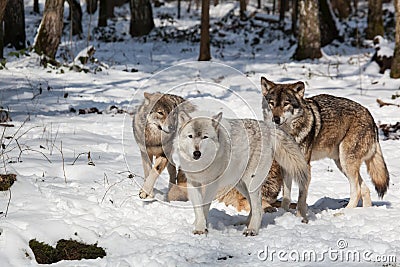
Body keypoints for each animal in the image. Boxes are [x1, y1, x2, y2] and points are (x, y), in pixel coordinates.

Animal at [173, 111, 310, 237]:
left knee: (259, 209)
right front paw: (198, 226)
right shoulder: (193, 183)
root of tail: (267, 126)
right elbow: (198, 209)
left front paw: (202, 228)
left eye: (205, 137)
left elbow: (204, 207)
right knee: (254, 206)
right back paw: (244, 223)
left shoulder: (212, 185)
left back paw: (252, 230)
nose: (197, 153)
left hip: (251, 184)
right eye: (190, 136)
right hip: (241, 186)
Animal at [260, 76, 390, 208]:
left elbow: (301, 198)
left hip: (346, 162)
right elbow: (286, 197)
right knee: (365, 189)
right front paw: (285, 212)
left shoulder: (305, 166)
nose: (275, 119)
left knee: (357, 190)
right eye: (271, 103)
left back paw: (344, 211)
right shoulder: (286, 166)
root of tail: (370, 116)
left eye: (286, 104)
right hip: (341, 163)